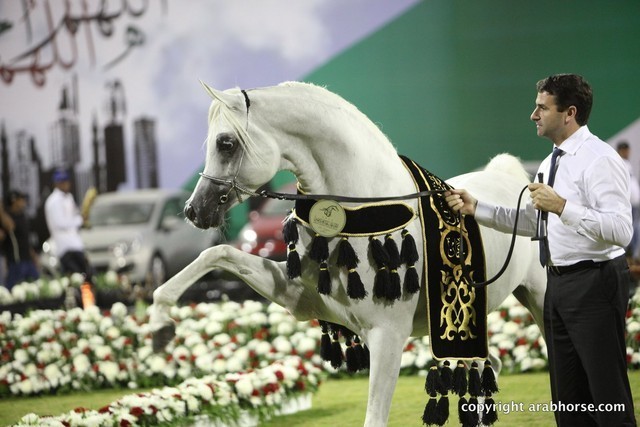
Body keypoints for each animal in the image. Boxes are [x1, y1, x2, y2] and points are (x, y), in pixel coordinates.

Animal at [148, 81, 547, 426]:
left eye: (226, 143)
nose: (194, 210)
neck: (363, 212)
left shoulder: (387, 335)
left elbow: (375, 418)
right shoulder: (304, 300)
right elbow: (217, 254)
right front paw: (161, 325)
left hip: (538, 301)